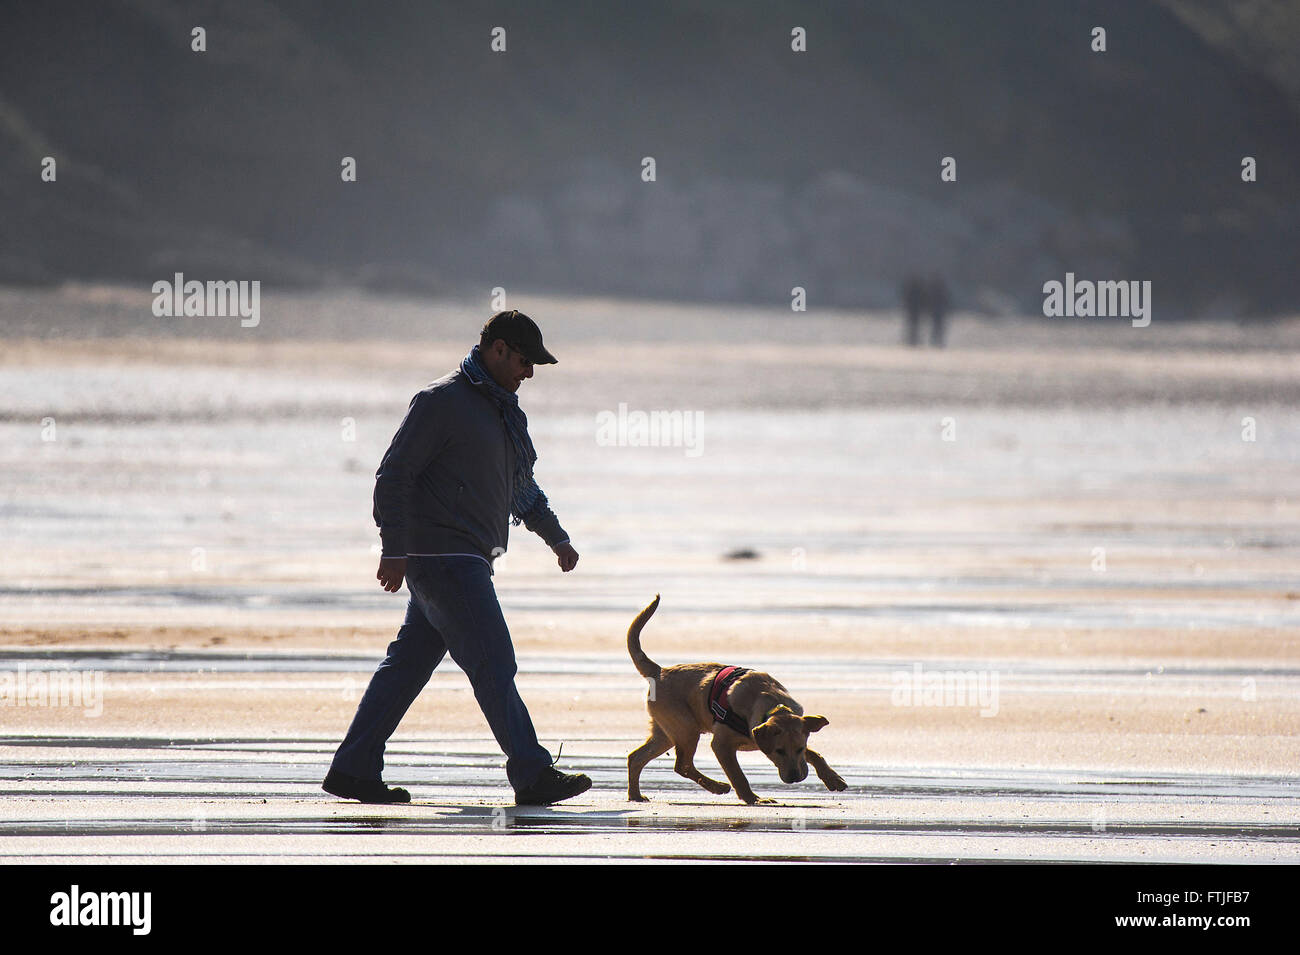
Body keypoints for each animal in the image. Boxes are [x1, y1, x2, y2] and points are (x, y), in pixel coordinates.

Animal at [626, 595, 847, 805]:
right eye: (779, 751)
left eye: (799, 749)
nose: (795, 778)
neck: (771, 704)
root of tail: (659, 671)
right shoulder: (721, 745)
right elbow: (738, 775)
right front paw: (754, 799)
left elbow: (815, 754)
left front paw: (833, 779)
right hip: (686, 730)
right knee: (682, 765)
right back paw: (718, 787)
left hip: (667, 734)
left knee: (636, 758)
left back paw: (635, 795)